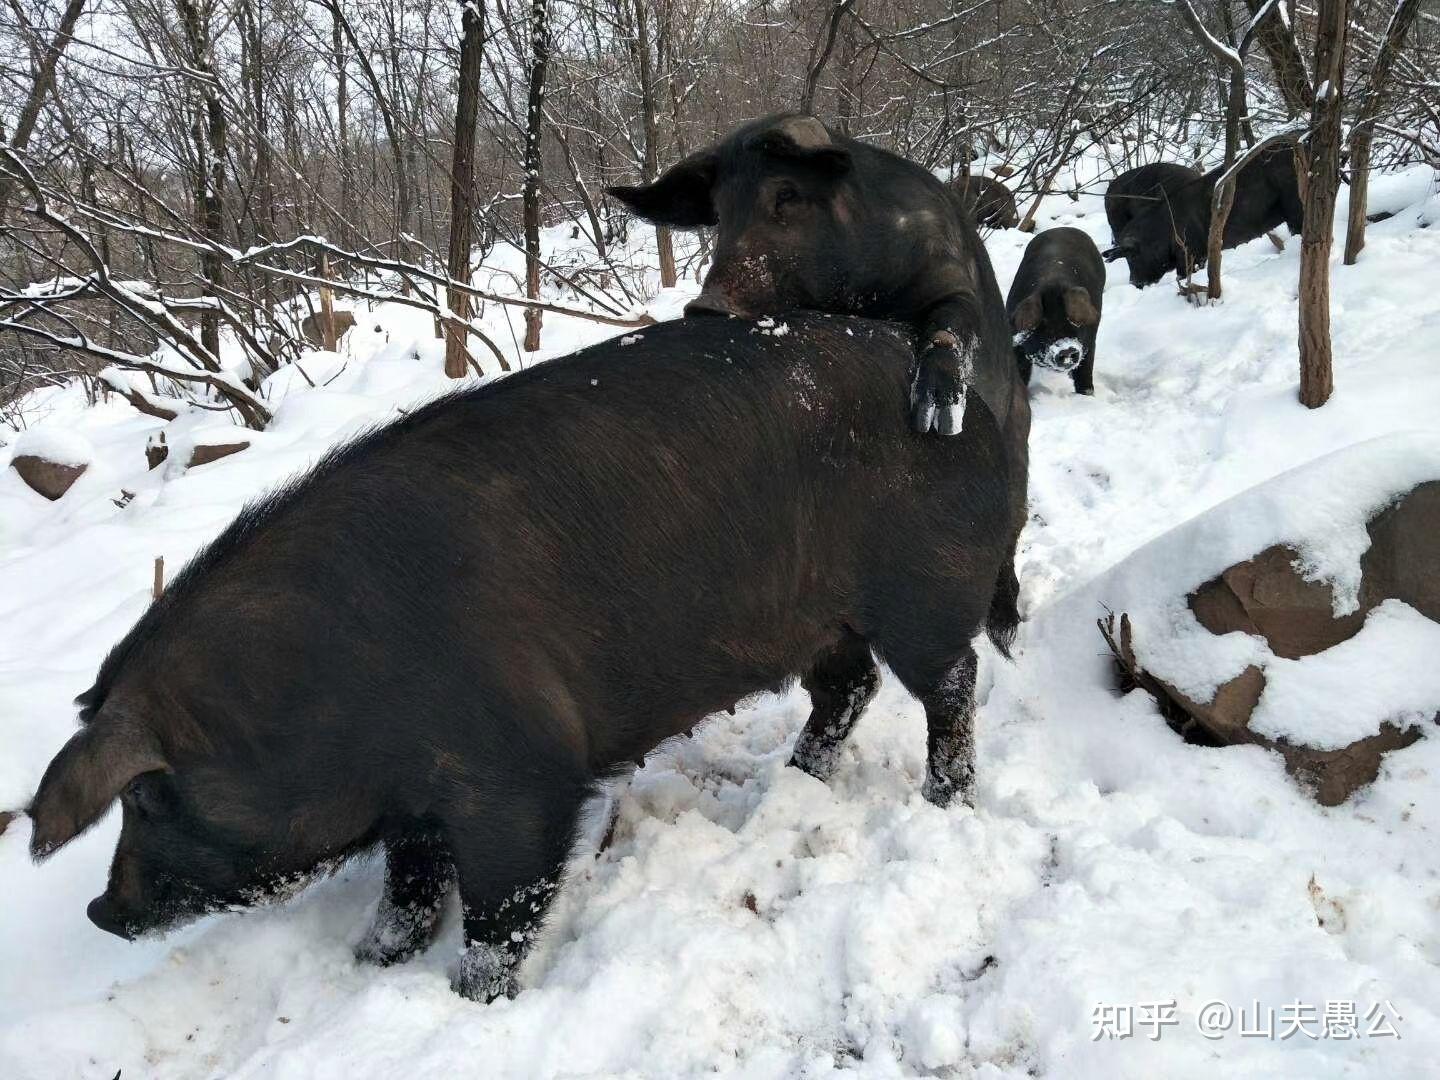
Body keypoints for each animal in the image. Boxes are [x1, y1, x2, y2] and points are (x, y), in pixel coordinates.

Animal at [22, 312, 1013, 1008]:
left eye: (147, 797)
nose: (101, 911)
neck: (319, 688)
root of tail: (979, 405)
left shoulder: (516, 772)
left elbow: (501, 902)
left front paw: (468, 1002)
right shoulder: (413, 802)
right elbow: (411, 889)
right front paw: (371, 962)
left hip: (923, 596)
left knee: (951, 683)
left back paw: (943, 798)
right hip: (822, 623)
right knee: (851, 685)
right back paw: (798, 780)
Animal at [1008, 228, 1105, 397]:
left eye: (1072, 321)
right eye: (1043, 323)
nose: (1067, 348)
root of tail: (1061, 228)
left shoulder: (1090, 339)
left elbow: (1085, 370)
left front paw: (1087, 395)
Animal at [1100, 144, 1307, 288]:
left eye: (1132, 257)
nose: (1135, 283)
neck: (1163, 233)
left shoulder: (1191, 251)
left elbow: (1185, 274)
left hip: (1294, 202)